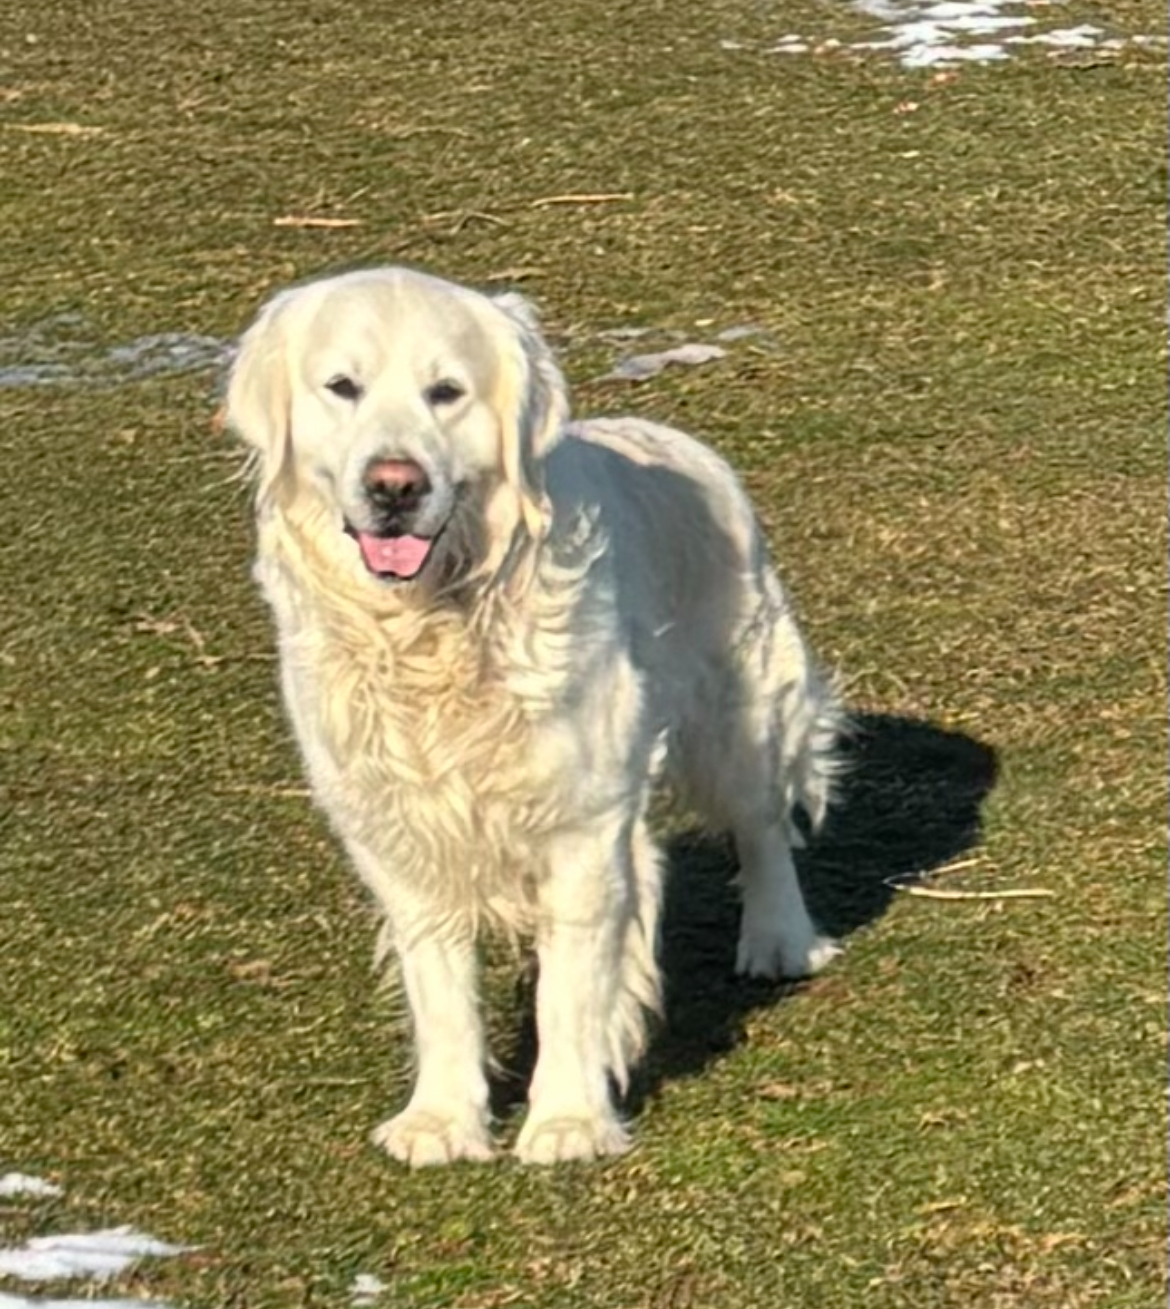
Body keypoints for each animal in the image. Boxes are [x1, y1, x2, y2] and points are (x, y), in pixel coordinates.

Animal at [226, 265, 842, 1167]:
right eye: (342, 387)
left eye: (447, 391)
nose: (395, 486)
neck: (434, 627)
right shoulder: (400, 834)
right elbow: (440, 988)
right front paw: (441, 1118)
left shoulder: (584, 826)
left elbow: (570, 989)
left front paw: (568, 1119)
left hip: (742, 704)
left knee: (761, 823)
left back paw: (779, 939)